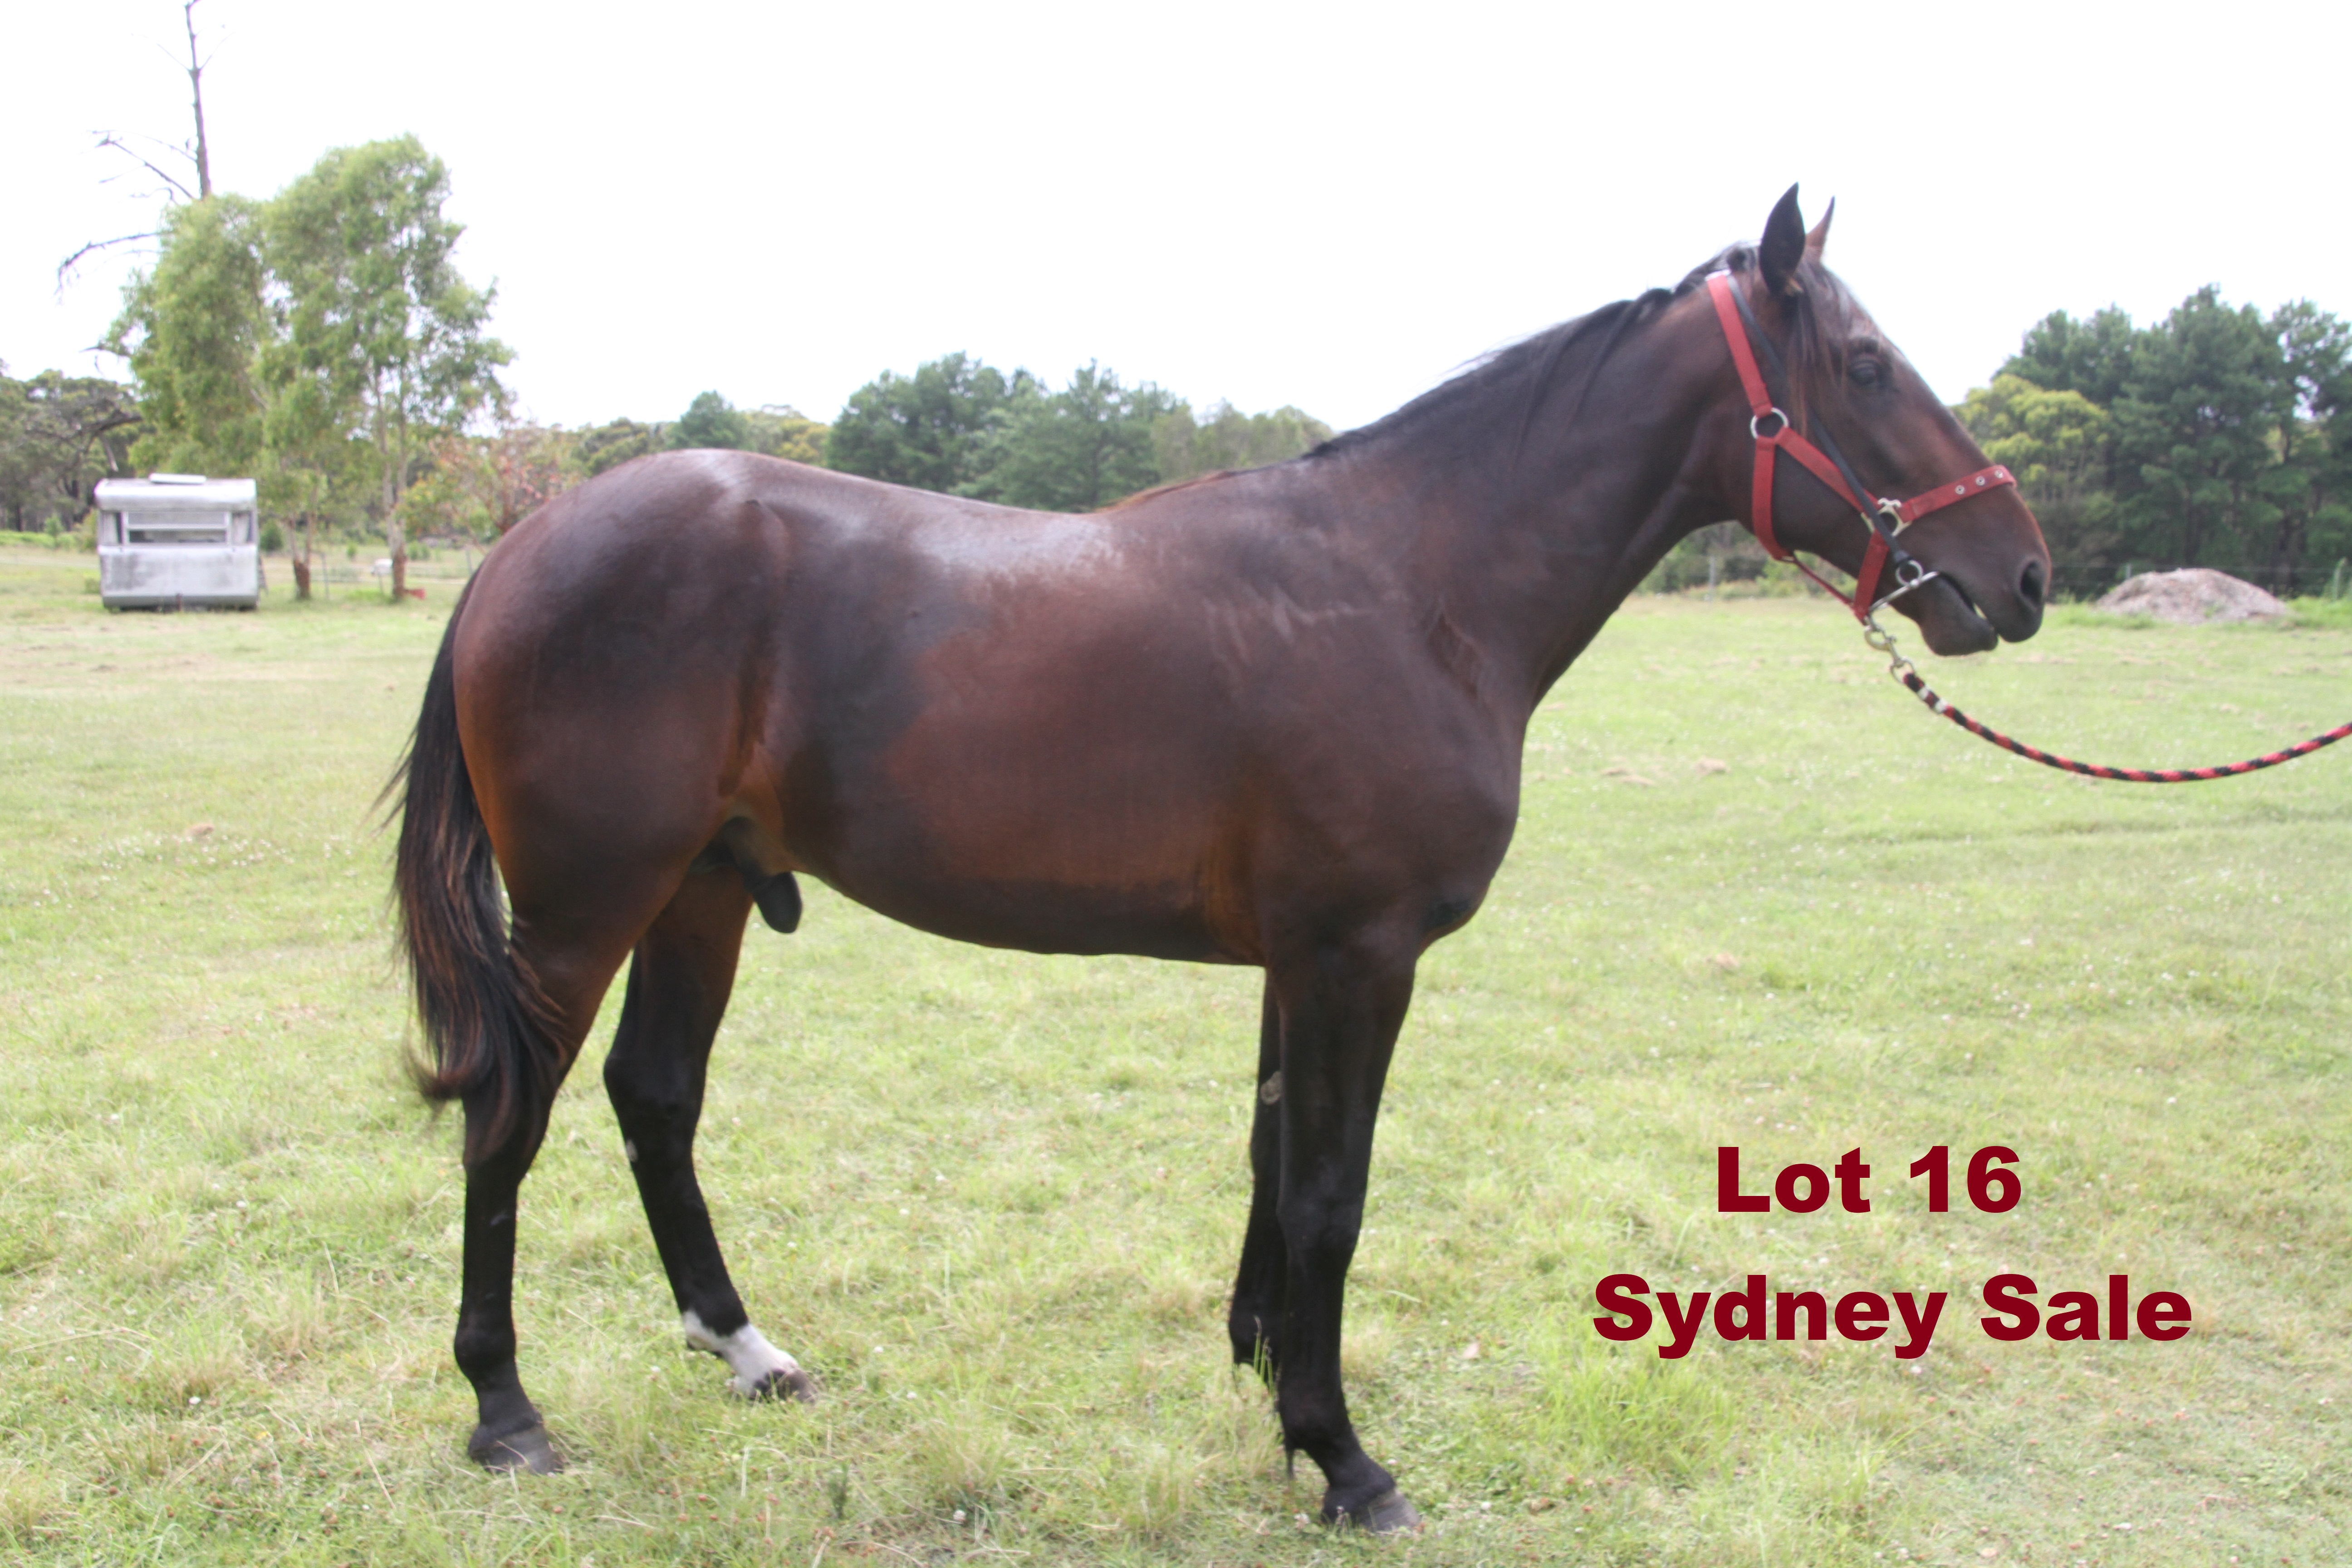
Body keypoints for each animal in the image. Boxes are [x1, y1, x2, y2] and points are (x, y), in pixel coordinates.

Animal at [392, 187, 2048, 1531]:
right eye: (1865, 366)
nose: (2021, 574)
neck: (1412, 585)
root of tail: (523, 542)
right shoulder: (1356, 959)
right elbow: (1331, 1193)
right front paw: (1344, 1457)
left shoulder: (1294, 964)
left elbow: (1270, 1165)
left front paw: (1263, 1378)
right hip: (587, 906)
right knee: (508, 1116)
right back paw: (504, 1411)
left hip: (703, 890)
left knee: (654, 1098)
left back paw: (744, 1350)